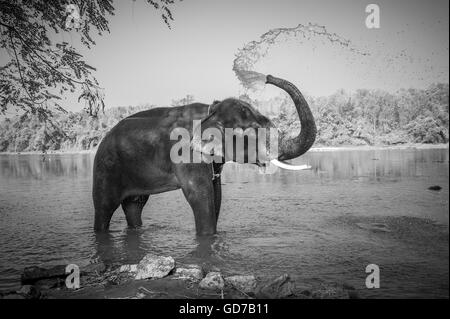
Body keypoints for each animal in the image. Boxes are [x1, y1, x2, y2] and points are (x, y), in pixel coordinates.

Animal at [91, 74, 316, 235]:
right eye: (252, 131)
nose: (268, 77)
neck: (210, 110)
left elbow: (216, 194)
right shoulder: (185, 153)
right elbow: (200, 195)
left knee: (134, 205)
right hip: (105, 168)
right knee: (104, 207)